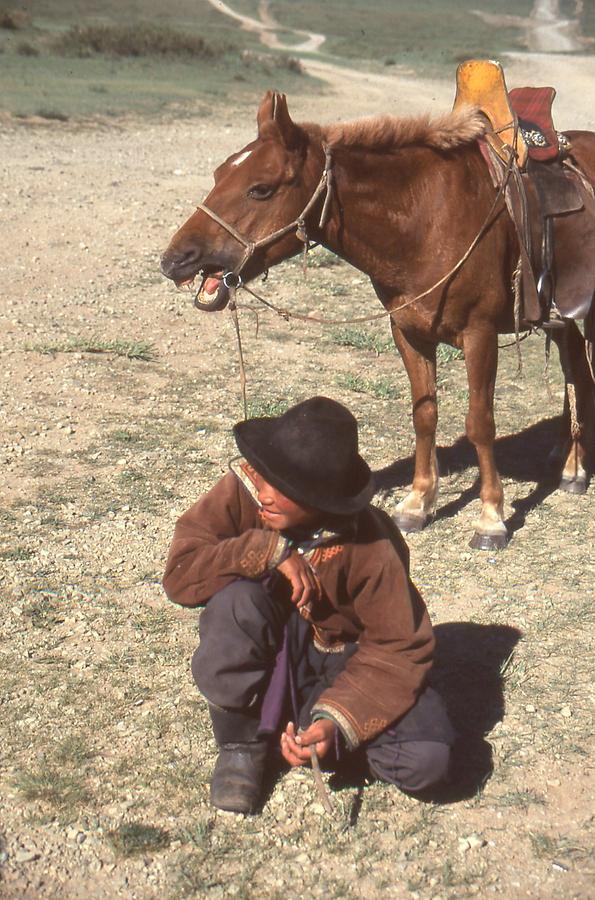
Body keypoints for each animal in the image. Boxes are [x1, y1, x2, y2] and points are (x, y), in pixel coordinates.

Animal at [161, 89, 592, 548]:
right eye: (218, 173)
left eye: (260, 189)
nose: (175, 260)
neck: (428, 217)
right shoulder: (408, 331)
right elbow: (424, 415)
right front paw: (417, 503)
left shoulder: (480, 334)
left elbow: (480, 423)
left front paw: (490, 517)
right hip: (563, 319)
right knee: (576, 374)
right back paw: (570, 463)